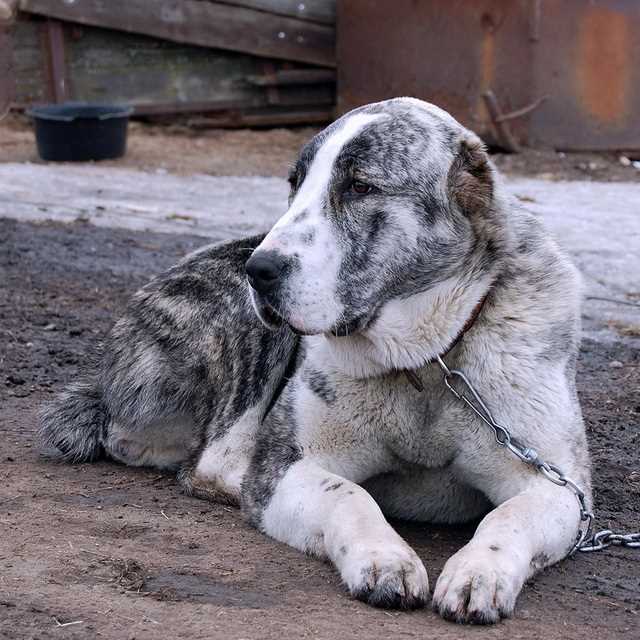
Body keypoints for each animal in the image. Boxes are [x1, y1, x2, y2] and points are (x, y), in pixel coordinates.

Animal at [38, 97, 592, 624]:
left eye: (359, 187)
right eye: (295, 184)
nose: (259, 269)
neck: (424, 363)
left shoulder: (558, 486)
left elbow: (507, 519)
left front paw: (480, 573)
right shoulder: (292, 465)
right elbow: (347, 496)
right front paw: (383, 558)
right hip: (249, 330)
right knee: (211, 461)